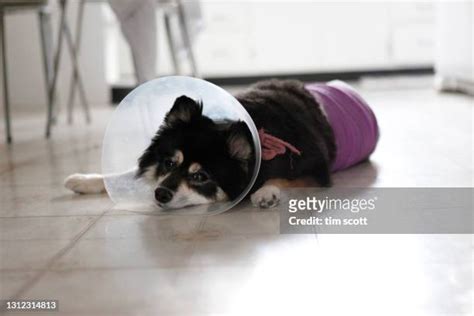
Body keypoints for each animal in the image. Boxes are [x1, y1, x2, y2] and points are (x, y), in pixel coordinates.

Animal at [65, 78, 378, 209]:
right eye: (169, 163)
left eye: (201, 176)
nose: (159, 194)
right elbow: (126, 173)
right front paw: (84, 180)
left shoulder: (315, 170)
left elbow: (282, 179)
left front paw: (266, 193)